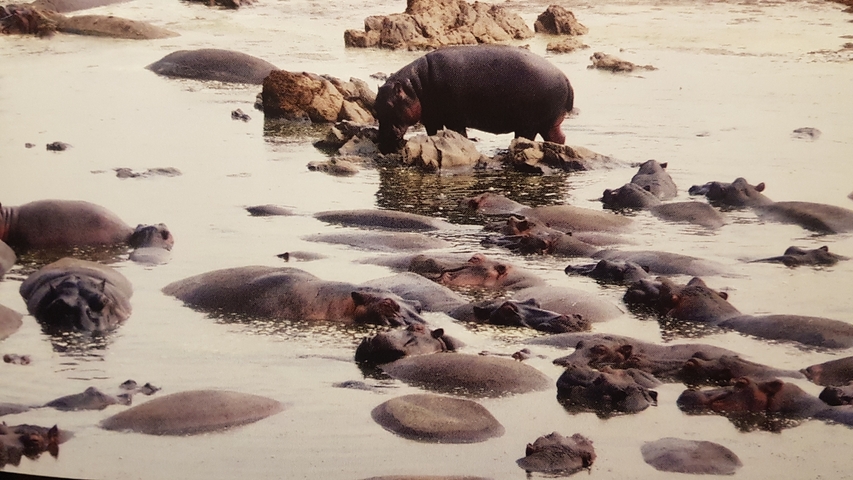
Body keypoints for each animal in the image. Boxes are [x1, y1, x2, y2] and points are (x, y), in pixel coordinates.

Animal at [375, 45, 574, 153]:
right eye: (375, 107)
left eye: (390, 104)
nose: (381, 142)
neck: (415, 87)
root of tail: (565, 76)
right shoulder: (431, 118)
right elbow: (433, 133)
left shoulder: (454, 118)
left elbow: (459, 133)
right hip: (549, 123)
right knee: (559, 137)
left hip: (529, 124)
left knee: (528, 138)